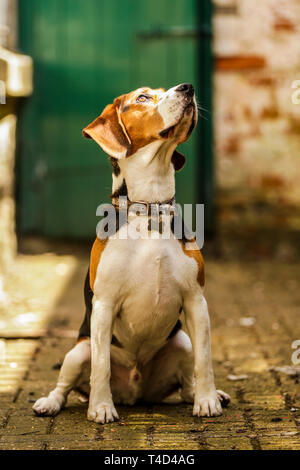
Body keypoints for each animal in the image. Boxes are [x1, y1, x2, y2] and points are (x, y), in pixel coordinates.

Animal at [32, 83, 230, 422]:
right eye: (143, 97)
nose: (188, 88)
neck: (149, 209)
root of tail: (134, 394)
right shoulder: (104, 305)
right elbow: (101, 366)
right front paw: (101, 408)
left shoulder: (196, 300)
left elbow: (205, 361)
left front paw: (207, 401)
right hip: (78, 350)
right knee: (66, 384)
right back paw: (51, 402)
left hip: (181, 342)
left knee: (187, 381)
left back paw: (203, 395)